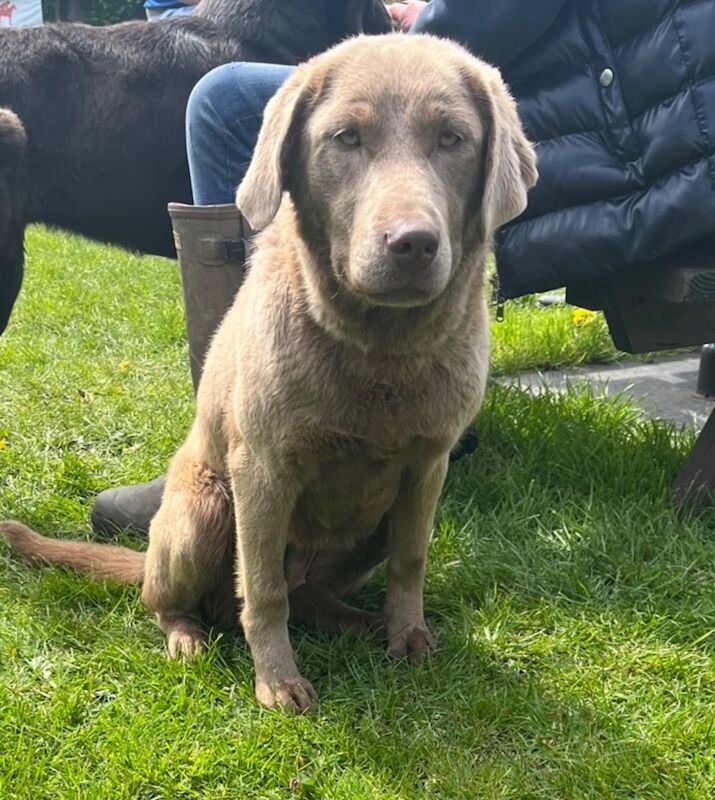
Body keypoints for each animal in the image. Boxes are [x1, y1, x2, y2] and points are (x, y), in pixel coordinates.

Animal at [1, 32, 536, 712]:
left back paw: (364, 623)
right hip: (205, 510)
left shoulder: (427, 467)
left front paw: (407, 635)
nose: (413, 242)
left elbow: (410, 562)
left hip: (369, 527)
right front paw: (278, 681)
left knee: (313, 597)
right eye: (346, 138)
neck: (378, 350)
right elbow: (262, 590)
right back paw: (188, 638)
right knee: (176, 601)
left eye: (451, 139)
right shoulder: (264, 471)